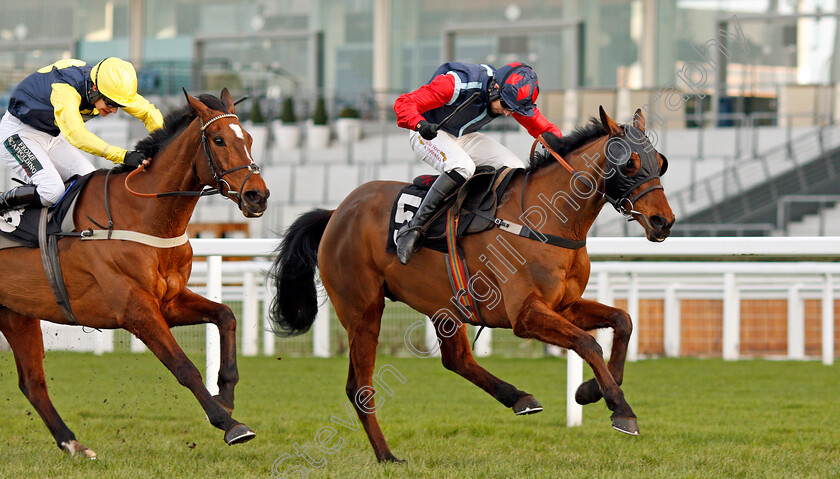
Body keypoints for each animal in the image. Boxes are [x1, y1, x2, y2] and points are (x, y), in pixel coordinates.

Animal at [0, 88, 268, 460]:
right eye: (218, 140)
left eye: (250, 139)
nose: (258, 195)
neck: (144, 214)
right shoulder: (135, 310)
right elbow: (184, 367)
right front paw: (229, 424)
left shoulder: (168, 301)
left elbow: (225, 315)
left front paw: (225, 394)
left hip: (17, 315)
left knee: (33, 383)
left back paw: (73, 443)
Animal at [270, 108, 676, 462]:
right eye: (629, 164)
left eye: (660, 162)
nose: (664, 221)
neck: (548, 220)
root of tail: (337, 212)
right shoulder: (524, 315)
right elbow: (588, 343)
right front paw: (620, 408)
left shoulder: (564, 305)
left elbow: (623, 321)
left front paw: (591, 390)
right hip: (363, 310)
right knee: (360, 388)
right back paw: (386, 455)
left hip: (443, 306)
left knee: (456, 360)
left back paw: (518, 398)